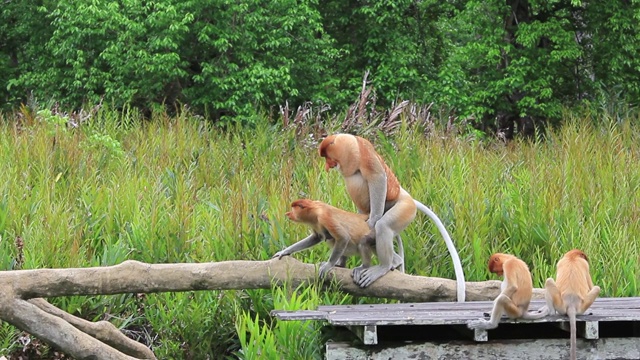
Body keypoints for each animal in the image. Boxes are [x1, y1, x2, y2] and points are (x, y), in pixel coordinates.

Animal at [268, 198, 400, 278]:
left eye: (293, 208)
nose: (288, 214)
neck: (315, 210)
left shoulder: (325, 217)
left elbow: (343, 237)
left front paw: (329, 265)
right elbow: (315, 238)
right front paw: (284, 251)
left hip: (373, 235)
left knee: (359, 241)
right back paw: (341, 264)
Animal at [318, 134, 464, 300]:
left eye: (327, 156)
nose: (327, 166)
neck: (346, 144)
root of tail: (405, 195)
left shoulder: (362, 152)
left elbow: (378, 177)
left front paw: (372, 220)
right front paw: (337, 263)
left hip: (405, 209)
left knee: (383, 226)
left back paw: (384, 266)